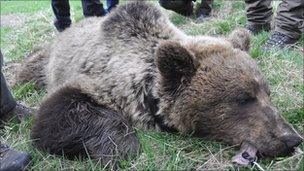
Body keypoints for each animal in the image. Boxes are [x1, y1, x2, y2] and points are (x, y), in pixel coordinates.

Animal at [17, 0, 302, 168]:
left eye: (267, 93)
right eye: (243, 98)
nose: (292, 139)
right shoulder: (104, 81)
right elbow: (56, 116)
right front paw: (120, 149)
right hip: (46, 60)